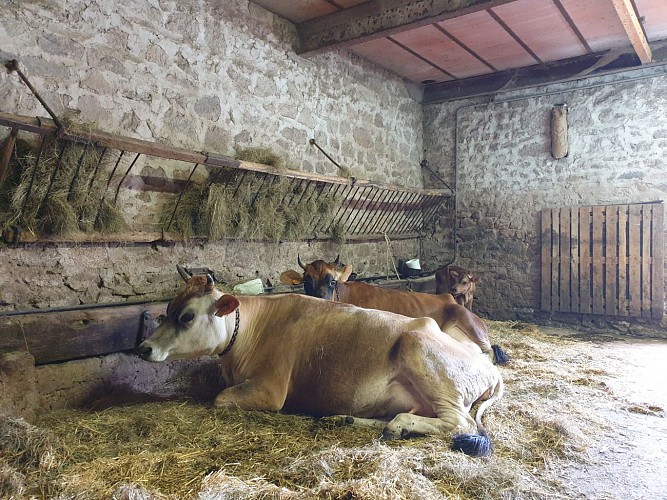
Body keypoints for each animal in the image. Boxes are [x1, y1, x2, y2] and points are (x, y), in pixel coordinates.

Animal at [136, 273, 504, 457]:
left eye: (187, 316)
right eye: (167, 310)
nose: (143, 348)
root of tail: (490, 368)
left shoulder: (270, 390)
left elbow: (219, 398)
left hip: (420, 349)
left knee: (459, 423)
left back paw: (398, 425)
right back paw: (349, 420)